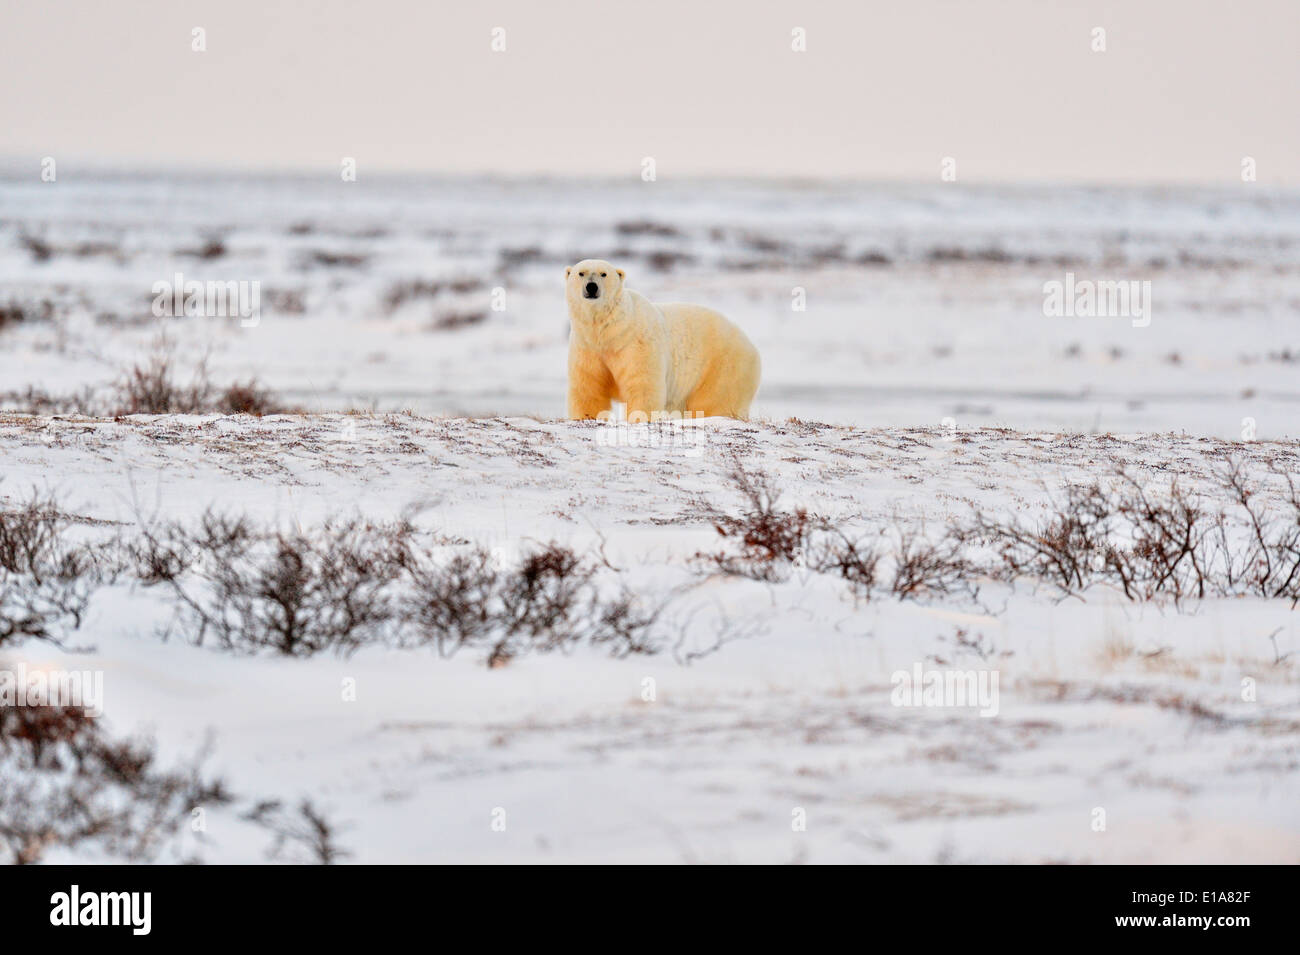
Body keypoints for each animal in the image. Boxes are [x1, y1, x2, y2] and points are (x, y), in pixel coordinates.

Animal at [561, 263, 759, 423]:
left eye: (603, 274)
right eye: (581, 273)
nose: (591, 286)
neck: (612, 331)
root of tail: (751, 346)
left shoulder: (637, 343)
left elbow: (643, 384)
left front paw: (639, 417)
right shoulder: (587, 346)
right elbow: (588, 385)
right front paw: (585, 416)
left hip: (722, 366)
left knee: (714, 399)